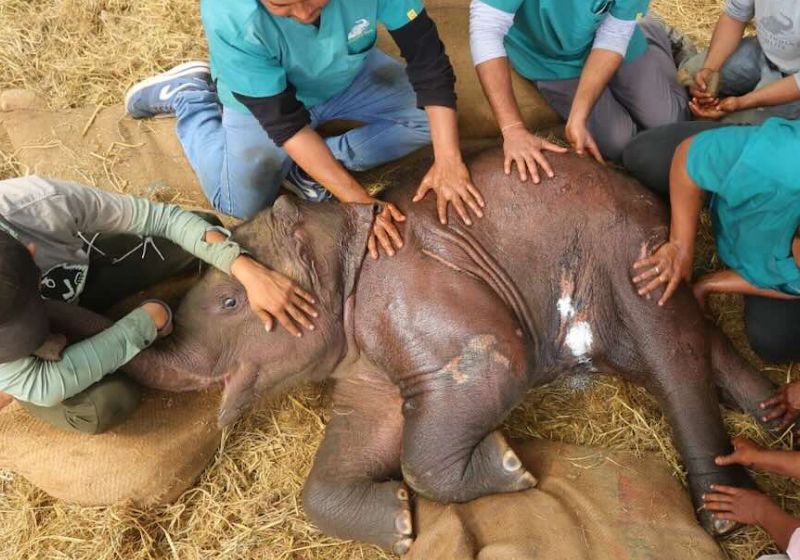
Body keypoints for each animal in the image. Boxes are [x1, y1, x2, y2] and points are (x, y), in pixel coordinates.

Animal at [55, 147, 782, 554]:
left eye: (232, 303)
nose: (150, 314)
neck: (345, 234)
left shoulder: (413, 292)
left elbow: (492, 363)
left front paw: (511, 465)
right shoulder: (364, 355)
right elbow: (363, 434)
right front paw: (401, 525)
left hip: (628, 252)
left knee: (670, 356)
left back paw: (724, 519)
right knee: (687, 341)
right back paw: (774, 416)